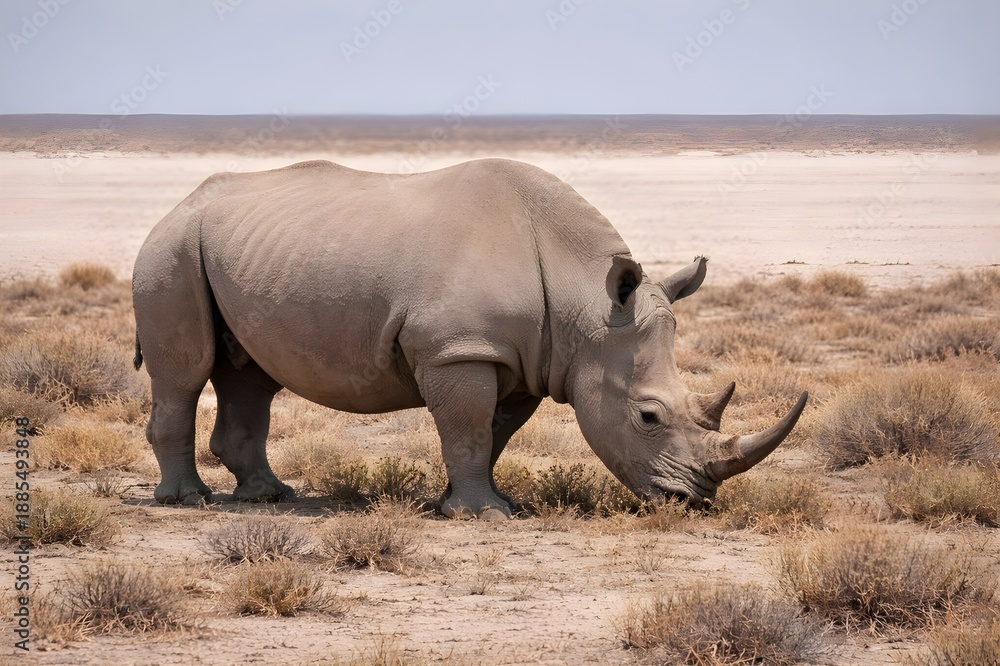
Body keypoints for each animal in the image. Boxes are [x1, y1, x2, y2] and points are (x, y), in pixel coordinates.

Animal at [132, 158, 807, 518]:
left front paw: (471, 502)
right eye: (647, 417)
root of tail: (177, 205)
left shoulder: (526, 358)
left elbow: (491, 433)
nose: (694, 500)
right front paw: (484, 514)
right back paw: (187, 502)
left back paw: (269, 497)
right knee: (185, 373)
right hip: (169, 249)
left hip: (236, 250)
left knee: (251, 376)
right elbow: (466, 425)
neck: (585, 303)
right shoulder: (458, 349)